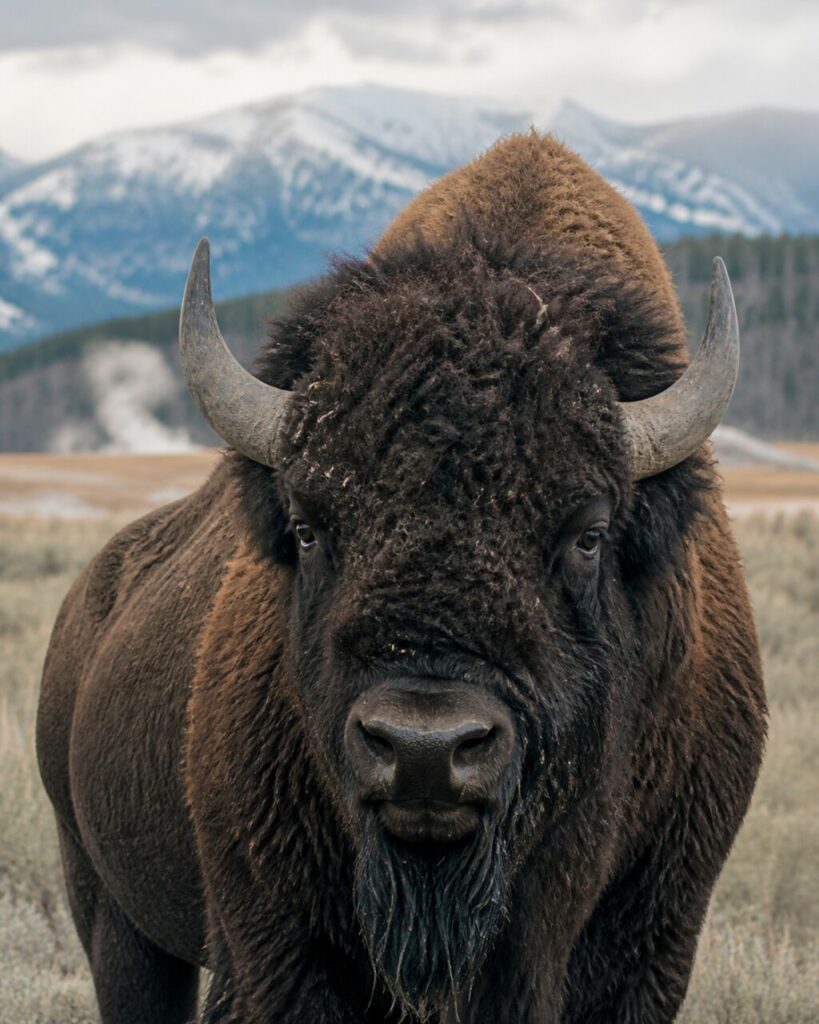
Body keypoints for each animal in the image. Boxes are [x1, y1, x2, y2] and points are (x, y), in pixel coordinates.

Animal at [37, 131, 766, 1023]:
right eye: (309, 526)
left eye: (589, 534)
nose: (425, 749)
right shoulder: (274, 946)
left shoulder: (651, 946)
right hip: (113, 917)